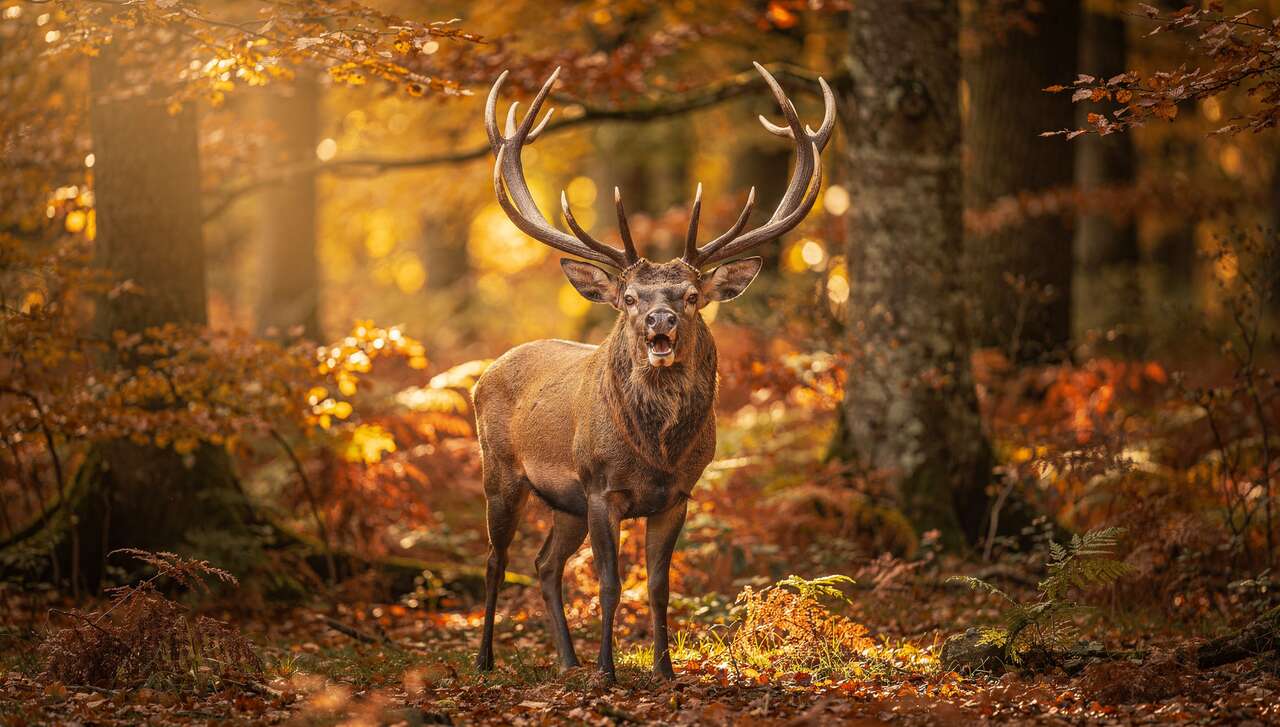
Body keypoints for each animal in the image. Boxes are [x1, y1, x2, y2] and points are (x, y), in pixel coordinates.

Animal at [473, 62, 834, 682]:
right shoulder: (600, 486)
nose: (659, 320)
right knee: (497, 560)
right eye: (629, 298)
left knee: (543, 564)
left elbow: (661, 588)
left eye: (691, 296)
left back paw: (565, 660)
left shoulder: (677, 494)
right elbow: (612, 584)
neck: (655, 452)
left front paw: (664, 670)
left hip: (563, 502)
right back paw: (486, 660)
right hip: (502, 472)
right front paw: (608, 671)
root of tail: (484, 373)